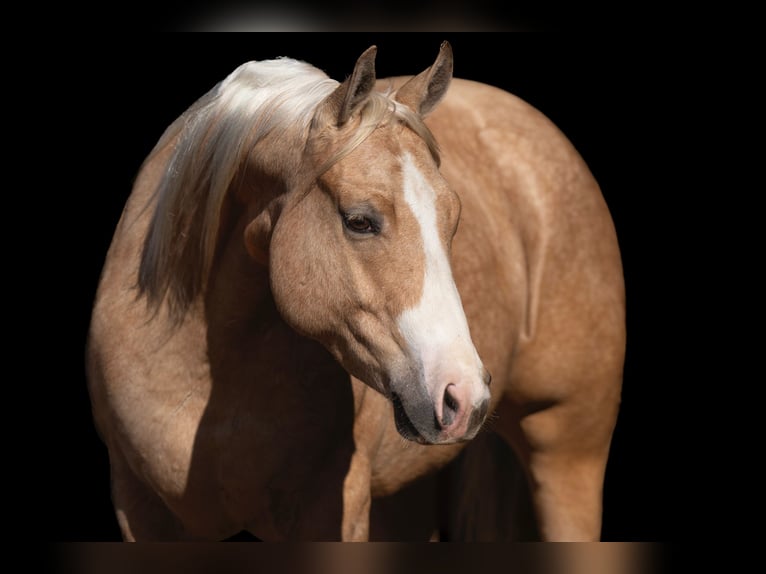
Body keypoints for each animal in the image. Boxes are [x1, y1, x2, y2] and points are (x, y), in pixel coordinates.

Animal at [87, 42, 628, 544]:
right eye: (360, 221)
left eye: (453, 218)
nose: (464, 396)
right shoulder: (140, 512)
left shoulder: (334, 510)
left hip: (567, 458)